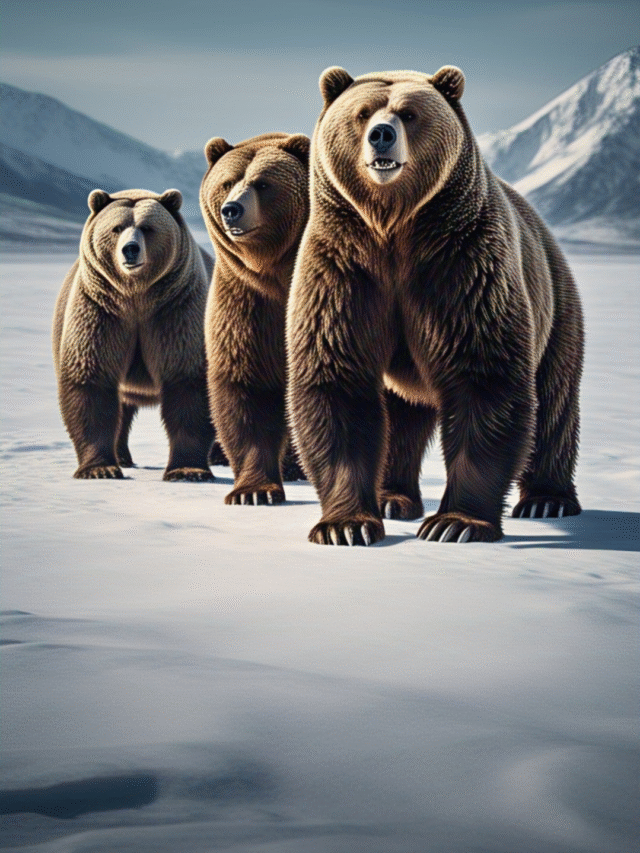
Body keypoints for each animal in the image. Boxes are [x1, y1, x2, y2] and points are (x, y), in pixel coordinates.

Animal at [53, 187, 216, 481]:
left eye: (147, 228)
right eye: (116, 227)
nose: (130, 249)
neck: (136, 294)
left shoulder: (176, 309)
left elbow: (188, 383)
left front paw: (187, 470)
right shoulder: (101, 310)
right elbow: (91, 381)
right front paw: (99, 469)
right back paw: (121, 457)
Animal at [200, 132, 310, 505]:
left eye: (262, 183)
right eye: (227, 181)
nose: (232, 209)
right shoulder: (246, 303)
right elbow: (247, 386)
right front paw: (254, 491)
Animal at [286, 66, 584, 545]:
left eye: (409, 113)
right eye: (362, 112)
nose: (382, 135)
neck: (393, 227)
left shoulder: (462, 267)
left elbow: (483, 380)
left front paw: (455, 523)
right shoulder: (344, 271)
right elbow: (337, 383)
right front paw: (346, 525)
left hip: (555, 306)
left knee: (553, 402)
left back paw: (546, 499)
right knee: (401, 418)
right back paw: (392, 497)